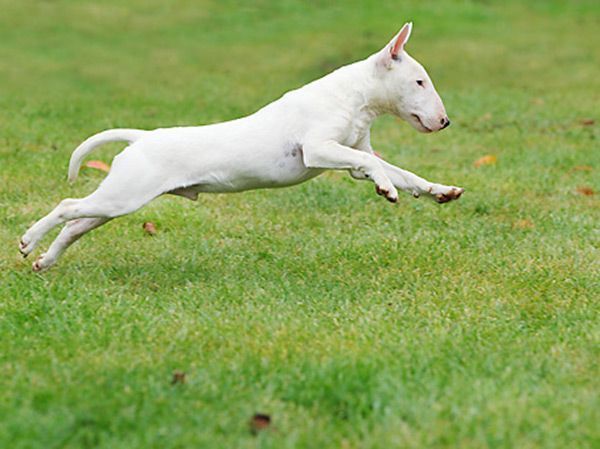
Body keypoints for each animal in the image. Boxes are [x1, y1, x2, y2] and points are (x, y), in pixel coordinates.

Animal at [21, 21, 464, 270]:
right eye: (420, 81)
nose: (444, 122)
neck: (355, 96)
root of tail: (142, 138)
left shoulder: (359, 150)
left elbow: (398, 171)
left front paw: (439, 191)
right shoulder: (317, 149)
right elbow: (370, 166)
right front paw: (385, 188)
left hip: (119, 200)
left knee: (77, 224)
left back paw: (45, 260)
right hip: (124, 195)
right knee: (68, 207)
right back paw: (28, 241)